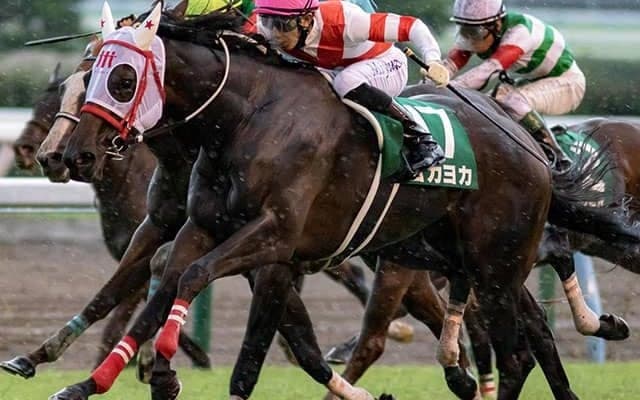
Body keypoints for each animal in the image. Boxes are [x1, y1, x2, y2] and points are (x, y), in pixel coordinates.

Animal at [47, 7, 640, 400]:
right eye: (90, 74)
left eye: (122, 80)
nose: (73, 155)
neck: (246, 120)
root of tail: (529, 146)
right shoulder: (205, 228)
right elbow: (166, 281)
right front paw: (98, 379)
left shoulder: (275, 239)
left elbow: (207, 298)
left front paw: (166, 361)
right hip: (465, 259)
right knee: (526, 335)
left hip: (496, 263)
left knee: (517, 350)